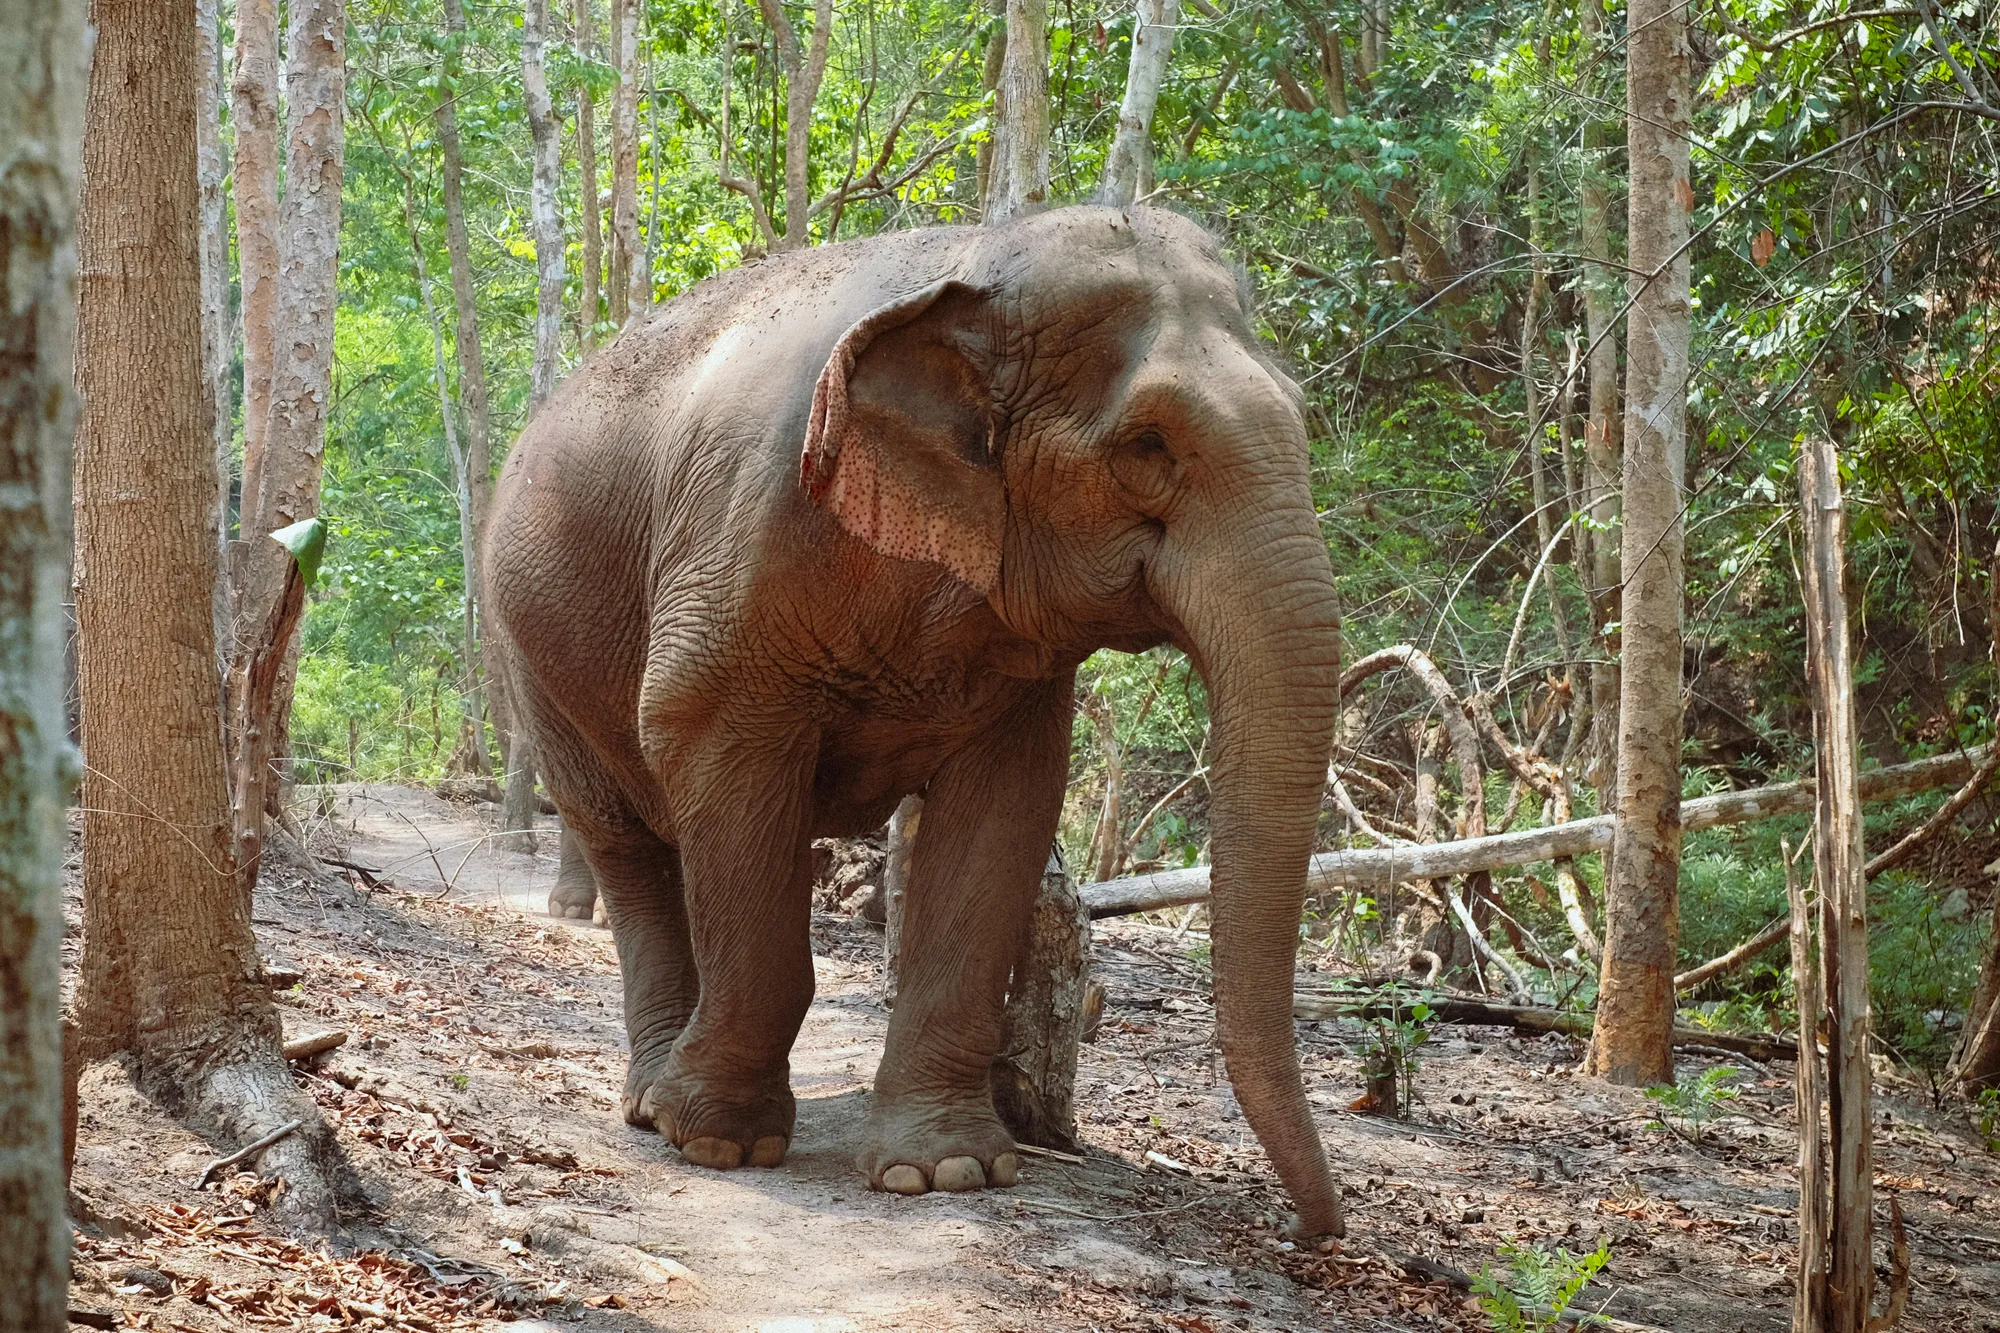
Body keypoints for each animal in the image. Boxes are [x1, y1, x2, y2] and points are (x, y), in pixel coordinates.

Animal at [483, 205, 1346, 1238]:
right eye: (1148, 446)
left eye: (1302, 415)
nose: (1315, 1231)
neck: (971, 263)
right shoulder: (736, 546)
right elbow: (707, 744)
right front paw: (721, 1142)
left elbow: (1006, 808)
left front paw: (945, 1171)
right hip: (532, 662)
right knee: (628, 845)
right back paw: (654, 1104)